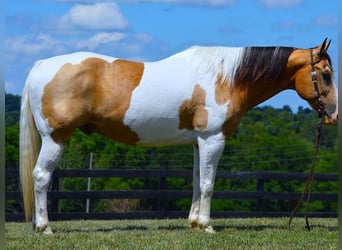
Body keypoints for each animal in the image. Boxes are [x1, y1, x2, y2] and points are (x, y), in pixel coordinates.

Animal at [20, 38, 338, 233]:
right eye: (325, 74)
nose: (334, 115)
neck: (226, 77)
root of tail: (40, 66)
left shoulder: (200, 142)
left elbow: (197, 182)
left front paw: (195, 223)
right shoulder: (213, 140)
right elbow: (208, 185)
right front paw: (207, 226)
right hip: (56, 138)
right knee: (41, 177)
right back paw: (44, 228)